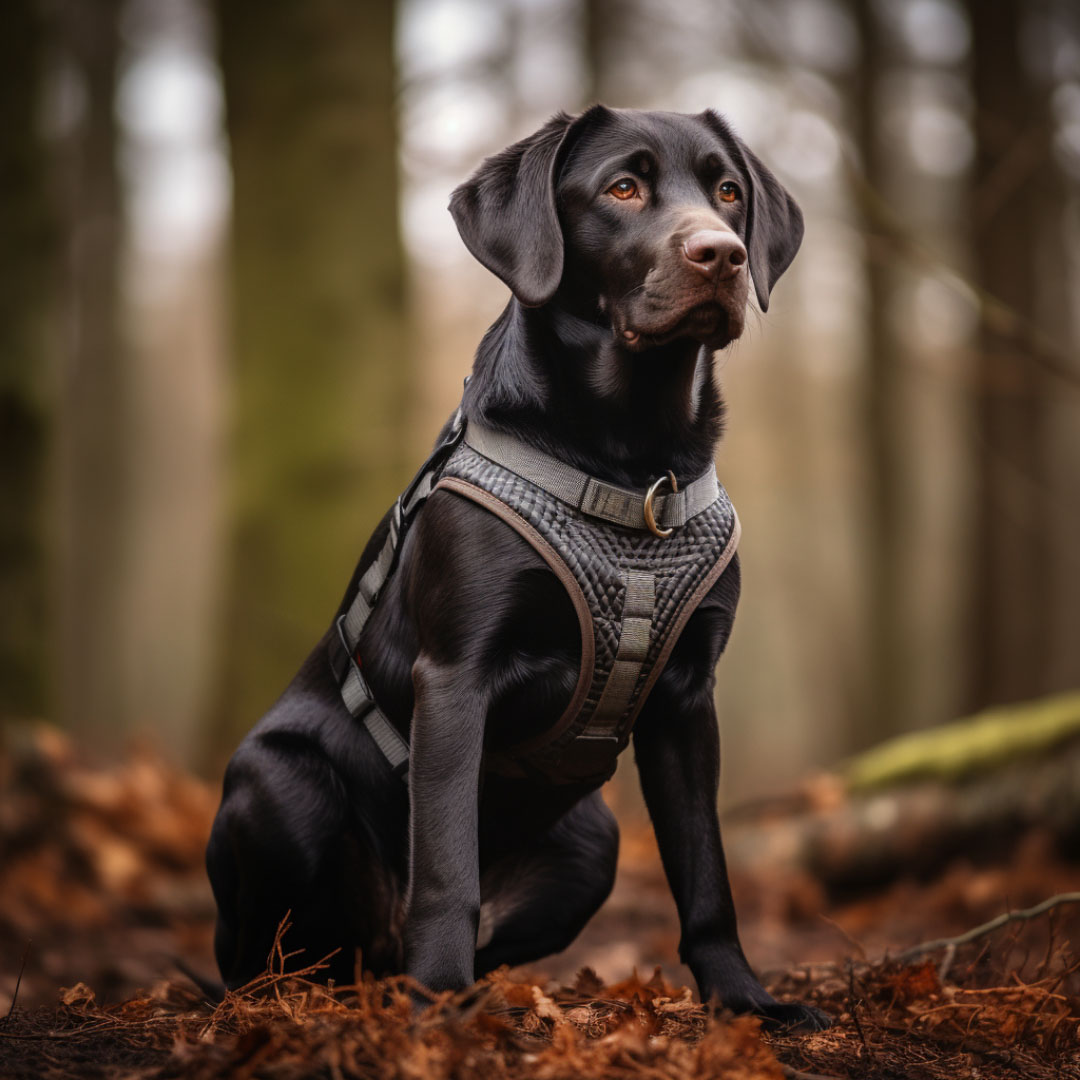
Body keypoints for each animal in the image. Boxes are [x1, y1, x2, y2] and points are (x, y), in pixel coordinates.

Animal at [206, 107, 829, 1028]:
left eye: (727, 192)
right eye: (622, 187)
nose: (721, 254)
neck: (629, 461)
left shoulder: (688, 695)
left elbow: (706, 874)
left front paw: (744, 999)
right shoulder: (455, 676)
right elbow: (446, 870)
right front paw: (437, 1001)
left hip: (592, 839)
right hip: (278, 783)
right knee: (268, 956)